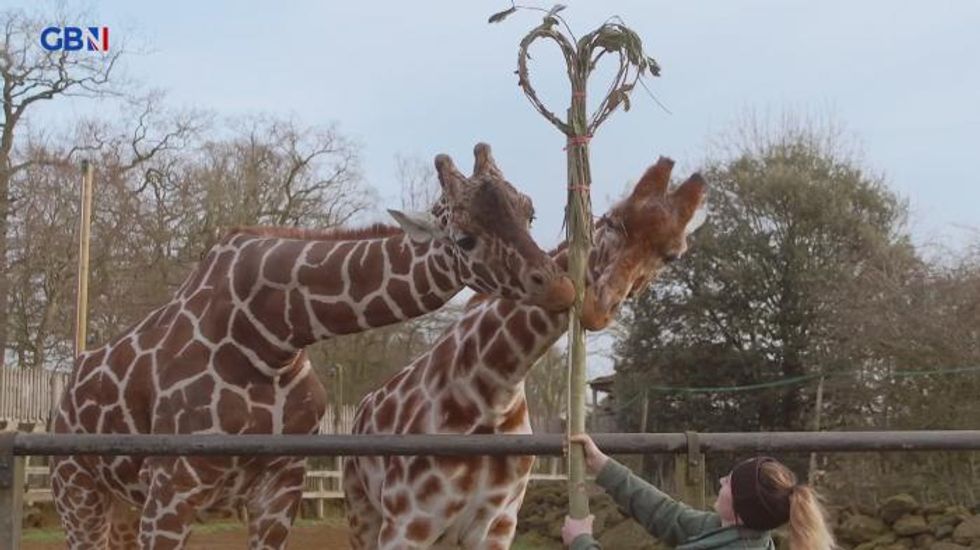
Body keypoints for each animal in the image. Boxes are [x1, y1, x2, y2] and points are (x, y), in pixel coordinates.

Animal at [50, 143, 576, 550]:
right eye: (464, 239)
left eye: (529, 212)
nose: (559, 286)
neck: (269, 336)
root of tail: (62, 402)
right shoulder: (173, 487)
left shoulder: (281, 484)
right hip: (76, 491)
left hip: (122, 501)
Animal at [344, 157, 707, 549]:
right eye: (610, 220)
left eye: (671, 255)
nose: (596, 308)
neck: (491, 391)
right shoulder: (408, 523)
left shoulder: (498, 523)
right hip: (362, 511)